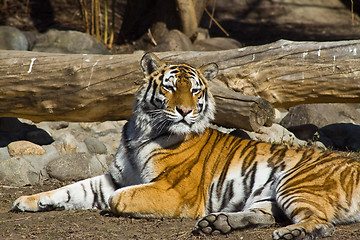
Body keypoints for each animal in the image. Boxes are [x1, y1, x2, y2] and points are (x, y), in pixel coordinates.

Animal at [10, 53, 360, 240]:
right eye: (168, 88)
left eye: (194, 90)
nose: (184, 111)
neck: (142, 132)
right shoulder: (115, 177)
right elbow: (72, 188)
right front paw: (28, 201)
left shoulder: (174, 191)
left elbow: (116, 198)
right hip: (268, 197)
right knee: (268, 215)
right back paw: (218, 222)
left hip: (294, 183)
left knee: (322, 223)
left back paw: (289, 233)